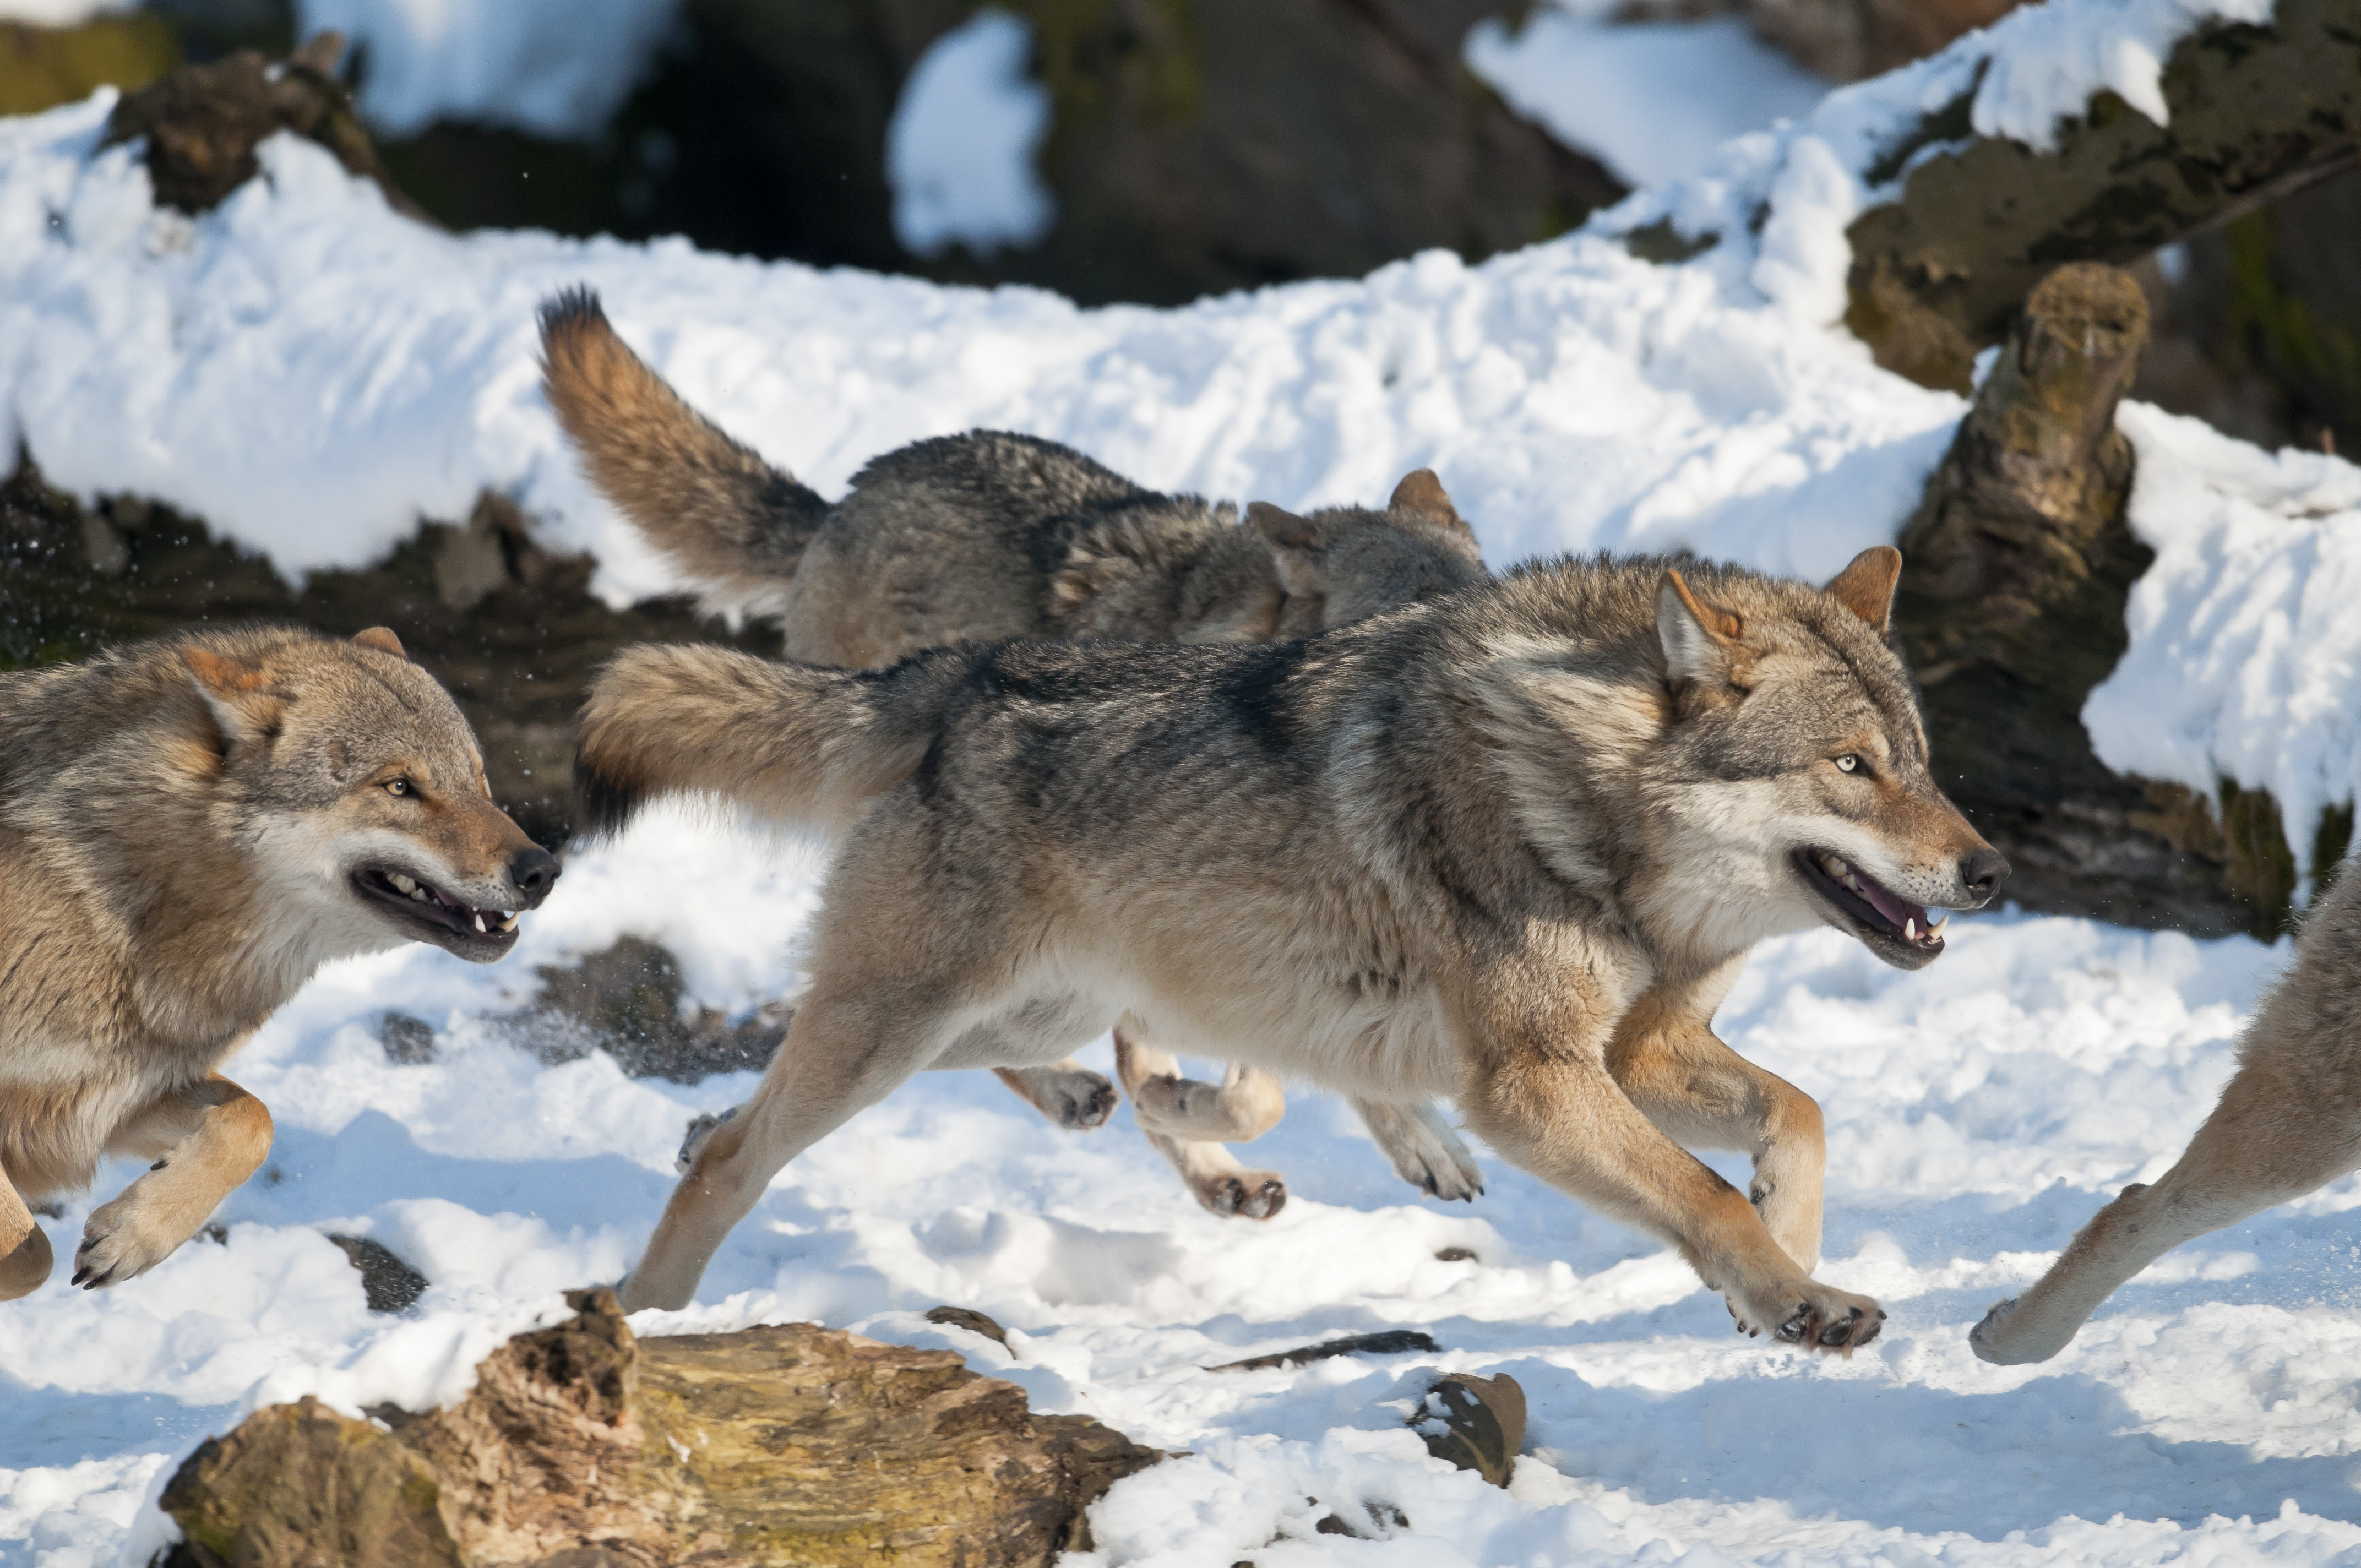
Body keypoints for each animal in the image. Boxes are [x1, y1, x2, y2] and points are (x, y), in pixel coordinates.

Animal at [0, 623, 557, 1294]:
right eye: (400, 786)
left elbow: (254, 1122)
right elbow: (30, 1256)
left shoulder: (113, 1101)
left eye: (478, 780)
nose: (542, 871)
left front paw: (136, 1235)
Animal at [580, 545, 2002, 1341]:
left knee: (975, 1077)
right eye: (1849, 767)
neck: (1587, 809)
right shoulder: (1530, 1082)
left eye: (1921, 762)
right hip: (900, 1025)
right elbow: (1698, 1189)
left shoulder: (1639, 1051)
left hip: (1015, 1008)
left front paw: (1785, 1269)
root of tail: (961, 672)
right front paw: (1802, 1298)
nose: (1988, 870)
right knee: (737, 1148)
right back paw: (638, 1316)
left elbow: (1798, 1116)